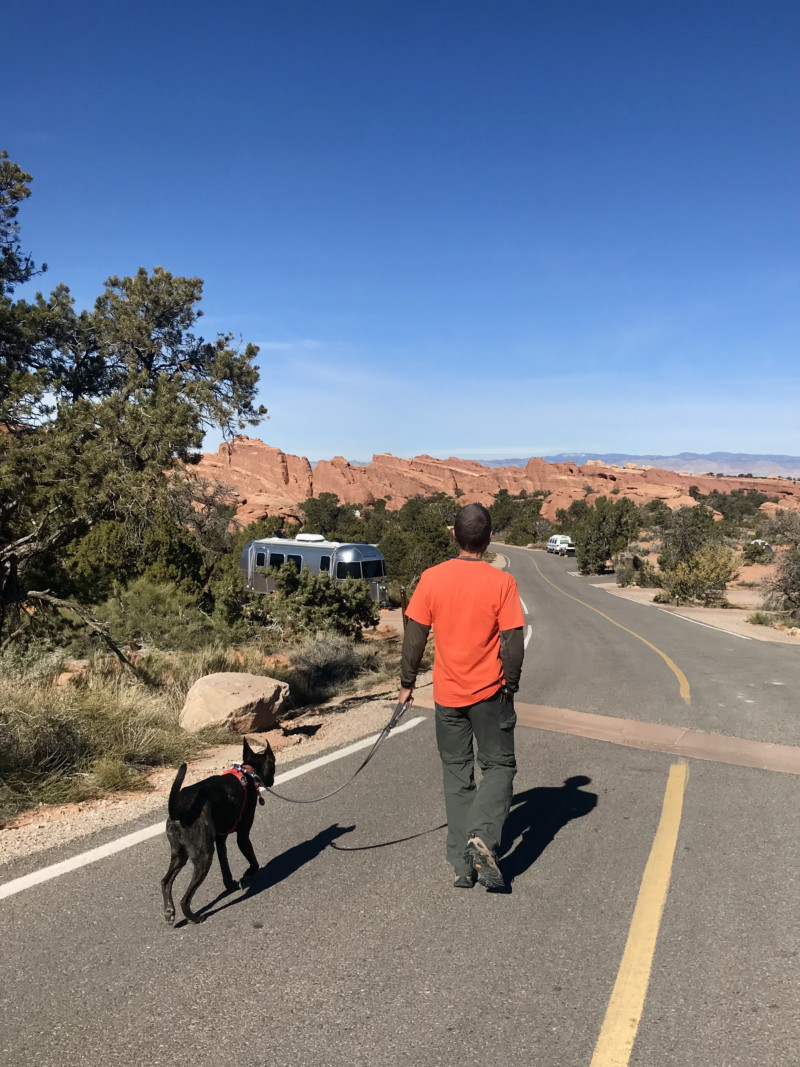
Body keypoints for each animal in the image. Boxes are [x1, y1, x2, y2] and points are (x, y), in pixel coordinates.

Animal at [161, 738, 277, 921]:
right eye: (273, 764)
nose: (272, 781)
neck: (248, 773)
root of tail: (180, 810)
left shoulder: (220, 840)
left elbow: (225, 866)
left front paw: (230, 885)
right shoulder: (243, 836)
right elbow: (254, 862)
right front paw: (248, 874)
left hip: (179, 854)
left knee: (165, 881)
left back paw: (169, 911)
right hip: (204, 855)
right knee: (184, 899)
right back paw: (194, 917)